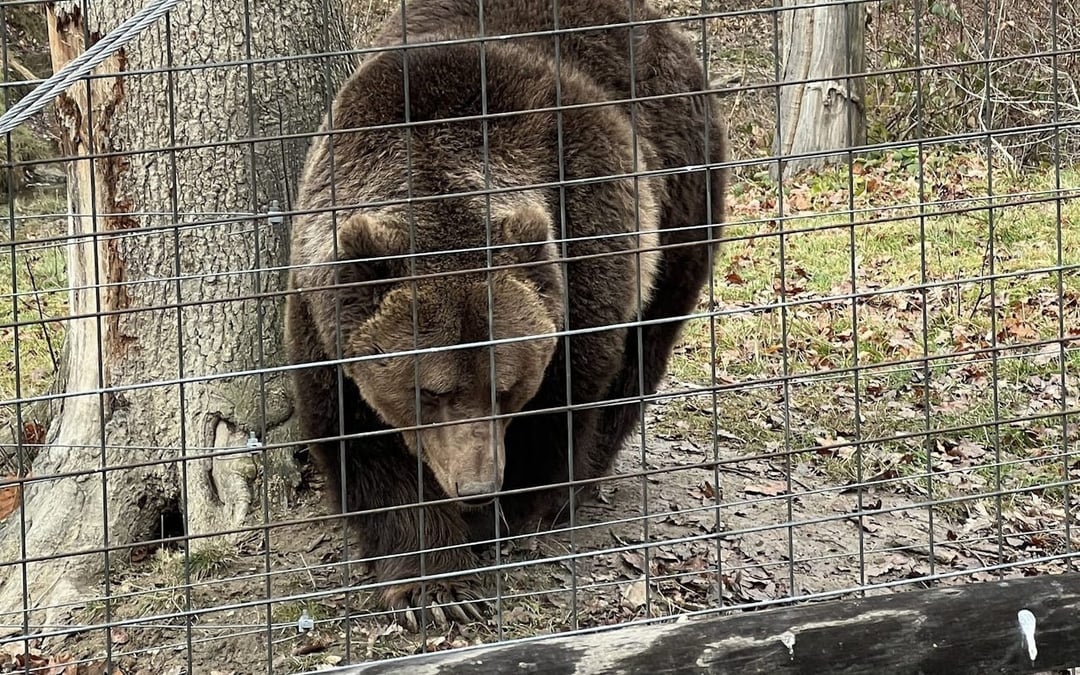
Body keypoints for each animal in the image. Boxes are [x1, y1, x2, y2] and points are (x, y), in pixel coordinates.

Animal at [284, 0, 728, 629]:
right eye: (429, 392)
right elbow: (358, 435)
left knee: (646, 344)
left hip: (680, 187)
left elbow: (564, 402)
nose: (475, 485)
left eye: (505, 386)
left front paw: (506, 513)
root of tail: (656, 23)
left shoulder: (586, 237)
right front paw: (432, 585)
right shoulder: (326, 308)